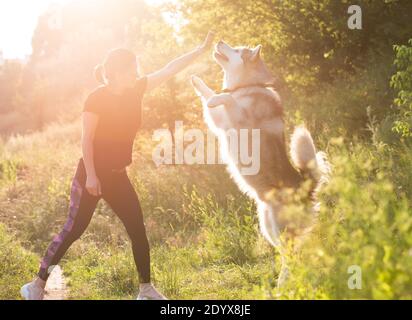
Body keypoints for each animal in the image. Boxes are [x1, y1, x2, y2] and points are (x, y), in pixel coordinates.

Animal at [192, 41, 330, 284]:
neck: (247, 86)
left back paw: (284, 282)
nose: (219, 41)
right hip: (268, 226)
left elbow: (224, 98)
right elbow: (210, 94)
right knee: (288, 254)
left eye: (237, 50)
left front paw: (216, 97)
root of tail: (305, 187)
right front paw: (196, 80)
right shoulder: (219, 121)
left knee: (291, 255)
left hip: (280, 227)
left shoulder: (237, 119)